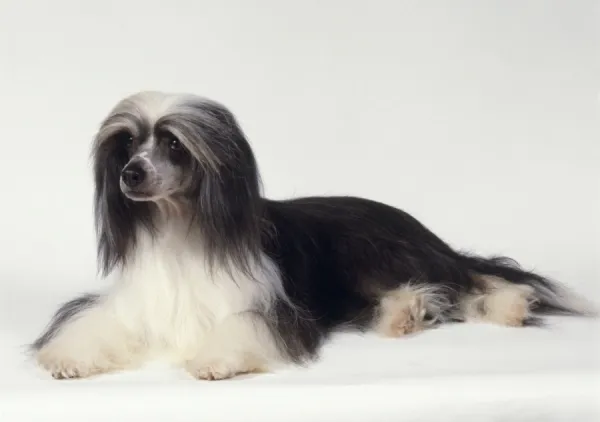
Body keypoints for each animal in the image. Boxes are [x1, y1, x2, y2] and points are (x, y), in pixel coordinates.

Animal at [31, 90, 596, 380]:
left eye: (173, 144)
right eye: (127, 145)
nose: (131, 175)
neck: (180, 230)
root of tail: (417, 226)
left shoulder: (270, 307)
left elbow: (243, 329)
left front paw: (215, 360)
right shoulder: (137, 305)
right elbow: (91, 322)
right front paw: (68, 359)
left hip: (376, 253)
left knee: (471, 280)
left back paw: (507, 306)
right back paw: (404, 315)